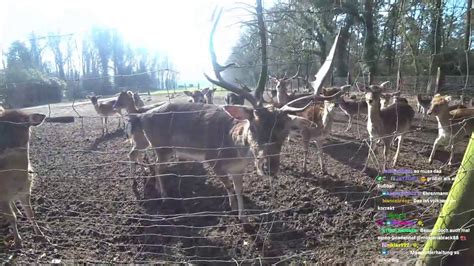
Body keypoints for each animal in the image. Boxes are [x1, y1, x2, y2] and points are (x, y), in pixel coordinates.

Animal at [0, 107, 46, 248]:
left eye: (24, 124)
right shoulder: (2, 196)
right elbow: (12, 218)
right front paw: (18, 242)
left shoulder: (26, 192)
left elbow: (31, 214)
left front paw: (41, 236)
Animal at [124, 8, 342, 220]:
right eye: (253, 127)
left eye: (285, 131)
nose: (268, 167)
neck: (235, 150)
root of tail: (142, 116)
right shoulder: (212, 161)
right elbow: (228, 187)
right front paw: (232, 209)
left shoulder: (239, 169)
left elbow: (239, 189)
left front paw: (243, 216)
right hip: (162, 146)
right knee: (157, 166)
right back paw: (163, 196)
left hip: (151, 143)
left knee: (143, 157)